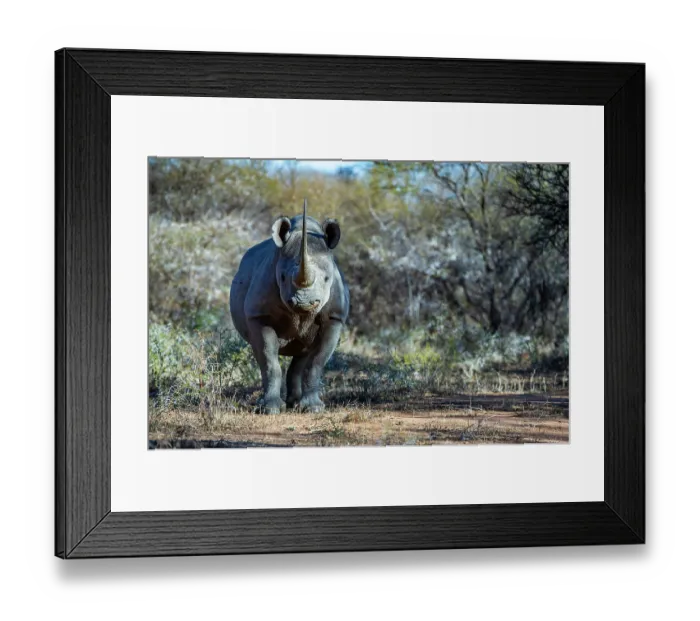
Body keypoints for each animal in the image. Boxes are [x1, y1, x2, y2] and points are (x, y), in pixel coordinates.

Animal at [230, 200, 350, 414]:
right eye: (283, 277)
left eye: (327, 279)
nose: (304, 302)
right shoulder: (259, 315)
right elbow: (269, 362)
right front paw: (270, 409)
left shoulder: (335, 317)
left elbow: (317, 362)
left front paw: (314, 408)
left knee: (304, 352)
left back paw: (296, 403)